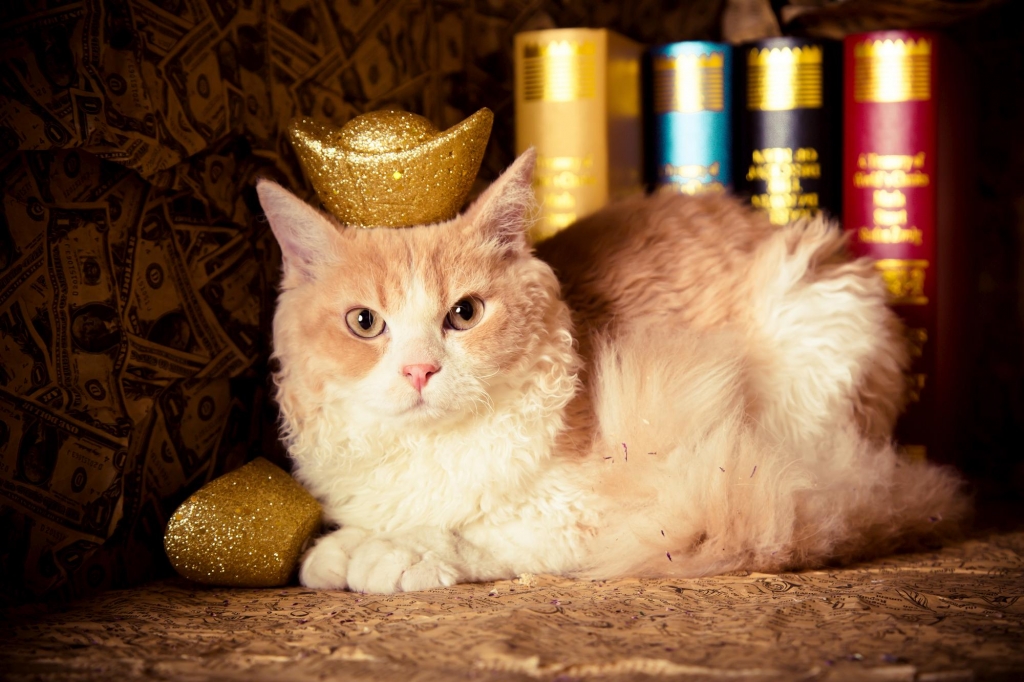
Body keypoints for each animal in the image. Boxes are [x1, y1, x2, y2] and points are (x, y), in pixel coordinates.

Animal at [256, 149, 966, 594]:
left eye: (464, 314)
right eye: (364, 323)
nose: (419, 371)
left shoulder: (615, 504)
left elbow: (478, 528)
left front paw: (390, 551)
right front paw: (348, 545)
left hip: (813, 324)